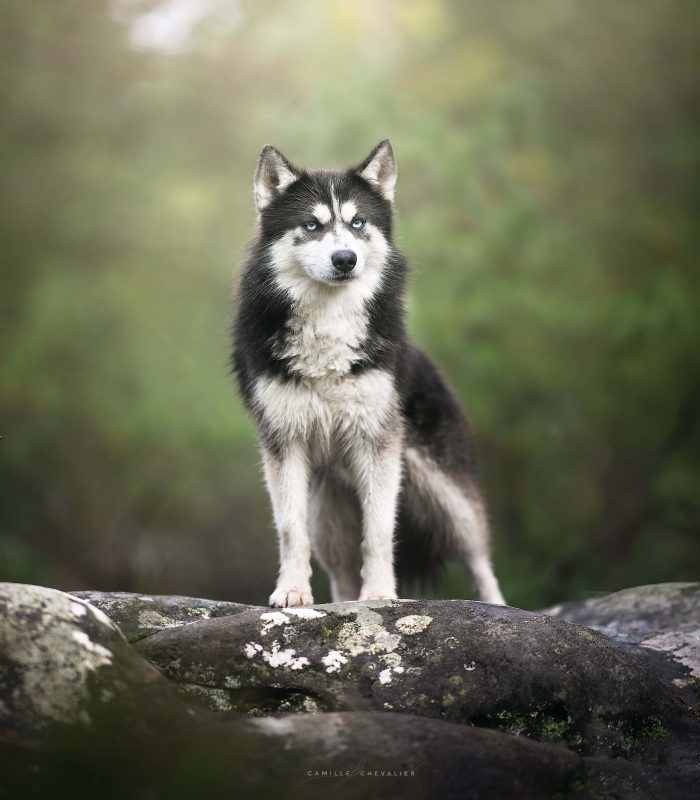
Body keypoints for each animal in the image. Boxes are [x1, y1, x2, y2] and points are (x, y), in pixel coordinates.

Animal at [232, 142, 506, 608]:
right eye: (312, 224)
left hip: (449, 501)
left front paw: (378, 595)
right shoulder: (284, 444)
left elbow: (378, 533)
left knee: (480, 559)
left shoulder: (376, 445)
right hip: (330, 516)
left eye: (358, 222)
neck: (328, 325)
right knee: (340, 572)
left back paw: (499, 608)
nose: (346, 259)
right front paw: (292, 592)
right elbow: (290, 531)